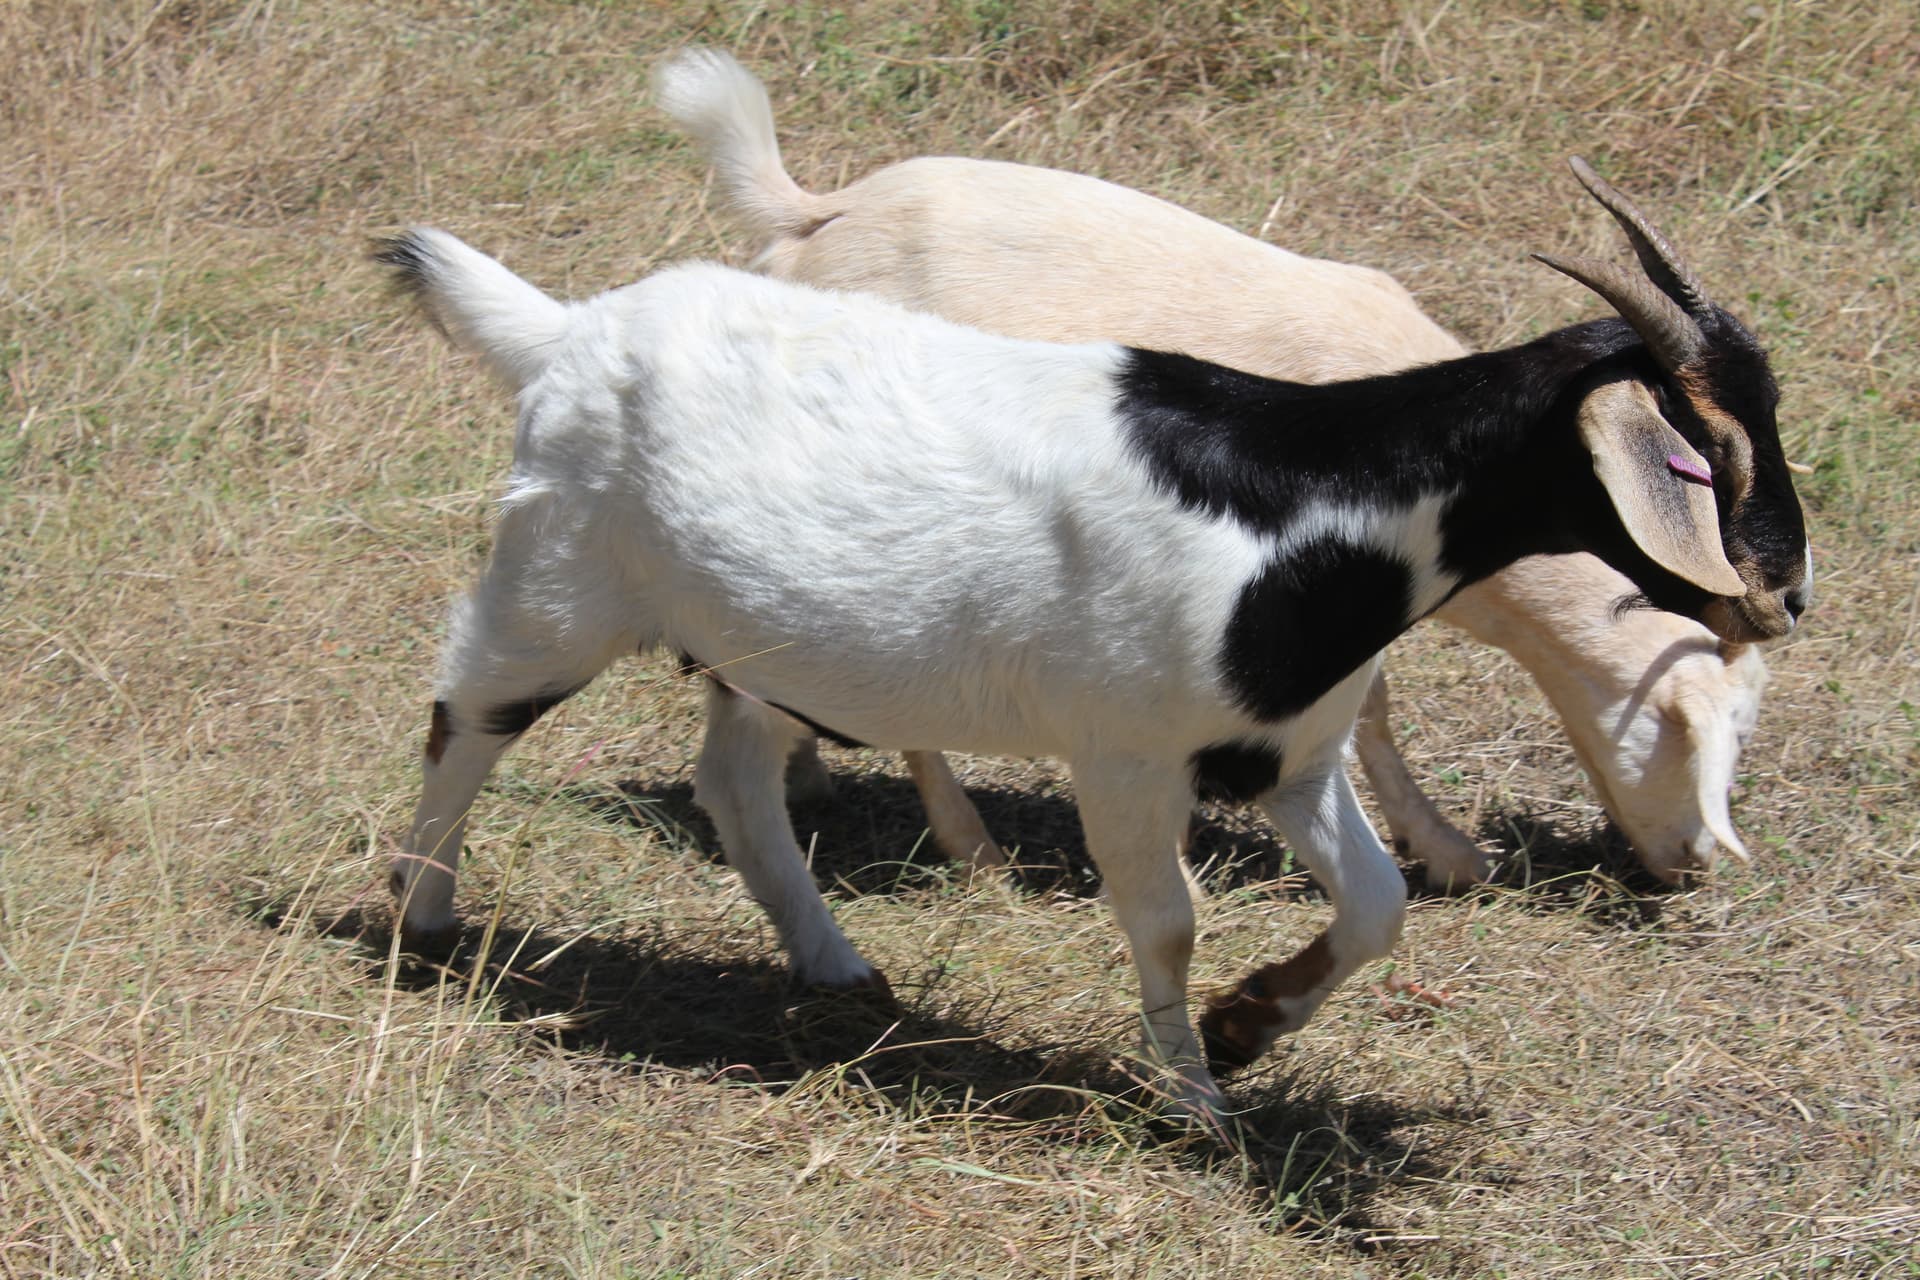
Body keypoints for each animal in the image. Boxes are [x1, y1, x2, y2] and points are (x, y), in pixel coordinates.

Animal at [379, 160, 1809, 1114]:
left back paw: (835, 962)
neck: (1303, 499)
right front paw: (1197, 1096)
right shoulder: (1127, 754)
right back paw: (422, 914)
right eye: (1704, 450)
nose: (1787, 592)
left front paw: (1249, 1025)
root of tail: (570, 331)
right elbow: (1166, 918)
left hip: (765, 645)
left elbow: (1380, 902)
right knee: (468, 713)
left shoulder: (1287, 753)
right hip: (557, 580)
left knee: (732, 780)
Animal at [655, 46, 1780, 887]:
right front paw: (1443, 848)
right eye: (1704, 735)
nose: (1690, 866)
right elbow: (1367, 708)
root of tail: (817, 212)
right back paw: (969, 846)